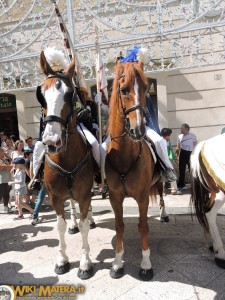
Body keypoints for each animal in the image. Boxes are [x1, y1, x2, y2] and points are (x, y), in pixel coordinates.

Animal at [37, 51, 95, 278]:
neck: (65, 157)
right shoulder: (55, 197)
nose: (52, 142)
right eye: (41, 95)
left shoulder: (84, 193)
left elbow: (85, 225)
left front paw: (85, 262)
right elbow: (59, 226)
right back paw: (73, 223)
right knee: (72, 207)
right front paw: (62, 259)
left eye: (70, 94)